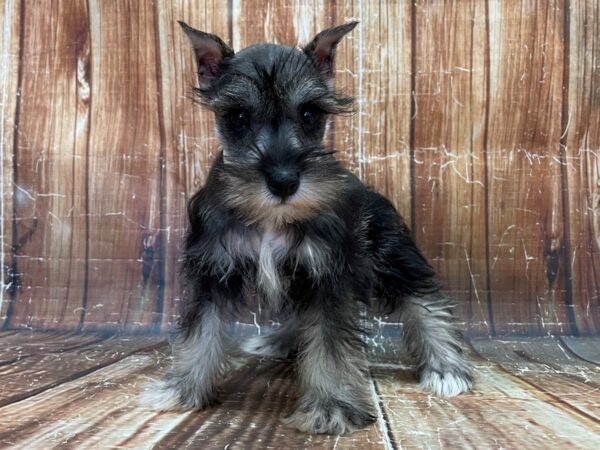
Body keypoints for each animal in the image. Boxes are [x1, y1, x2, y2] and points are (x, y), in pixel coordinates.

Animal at [143, 20, 472, 436]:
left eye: (310, 114)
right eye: (238, 117)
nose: (284, 181)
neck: (271, 217)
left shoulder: (328, 274)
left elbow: (329, 343)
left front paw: (331, 406)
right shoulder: (212, 270)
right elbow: (201, 330)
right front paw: (184, 387)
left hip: (393, 256)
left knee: (425, 302)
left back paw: (446, 366)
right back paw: (280, 341)